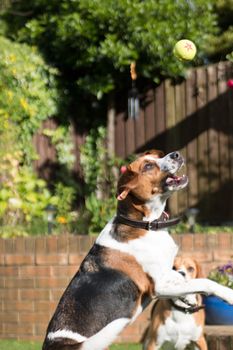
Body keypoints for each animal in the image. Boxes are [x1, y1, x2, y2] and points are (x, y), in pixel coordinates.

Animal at [42, 150, 233, 350]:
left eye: (157, 157)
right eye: (148, 166)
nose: (176, 154)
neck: (146, 224)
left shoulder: (165, 272)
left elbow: (183, 279)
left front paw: (188, 298)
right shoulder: (159, 287)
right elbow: (204, 282)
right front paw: (228, 294)